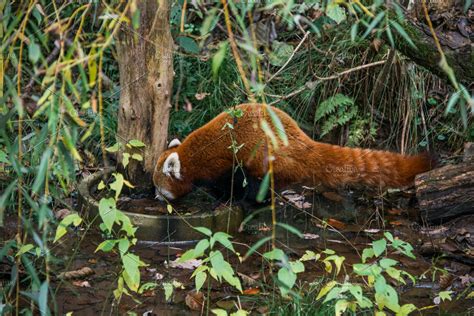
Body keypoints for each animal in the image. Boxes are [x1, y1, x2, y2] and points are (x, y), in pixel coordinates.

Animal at [153, 105, 434, 201]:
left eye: (159, 187)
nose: (155, 197)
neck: (192, 157)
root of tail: (301, 140)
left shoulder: (220, 164)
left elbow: (229, 183)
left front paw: (224, 199)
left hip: (264, 157)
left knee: (259, 181)